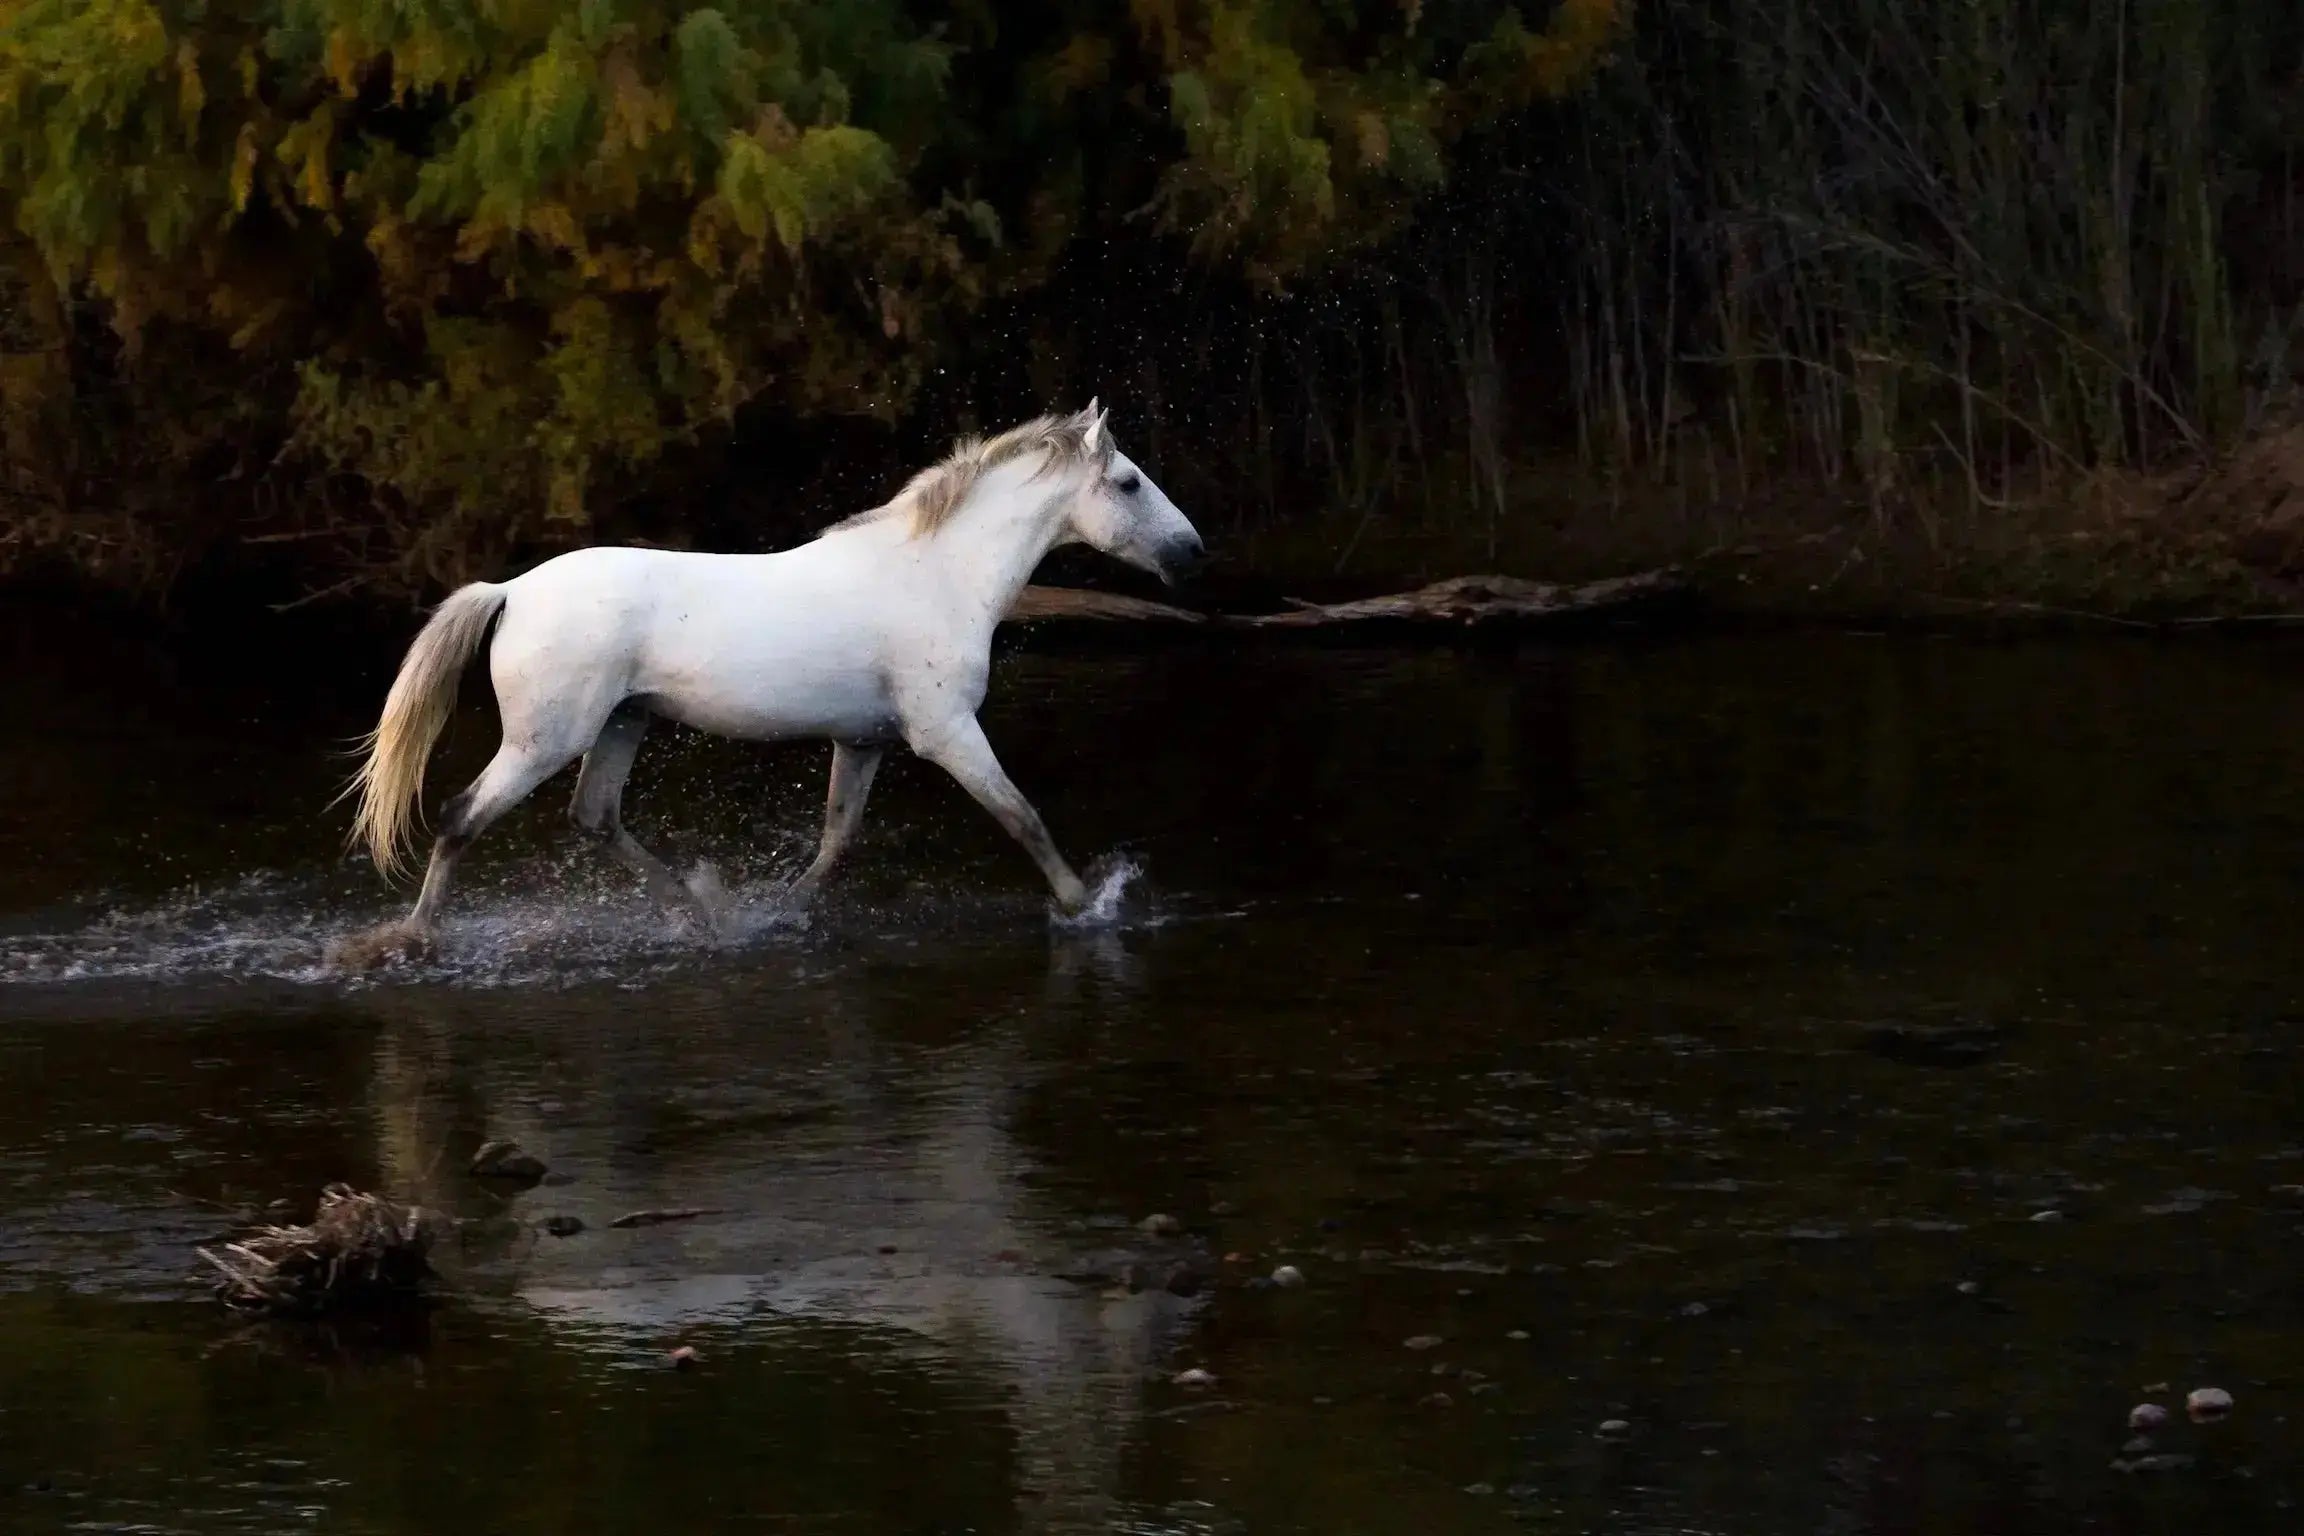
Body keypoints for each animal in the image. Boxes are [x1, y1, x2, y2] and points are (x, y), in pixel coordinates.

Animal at [323, 401, 1203, 970]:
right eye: (1129, 482)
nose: (1192, 551)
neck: (939, 576)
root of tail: (509, 590)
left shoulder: (865, 740)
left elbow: (836, 843)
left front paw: (779, 915)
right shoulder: (946, 731)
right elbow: (1022, 816)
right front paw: (1087, 906)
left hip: (622, 724)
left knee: (595, 816)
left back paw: (703, 916)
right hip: (547, 738)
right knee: (460, 818)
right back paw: (410, 942)